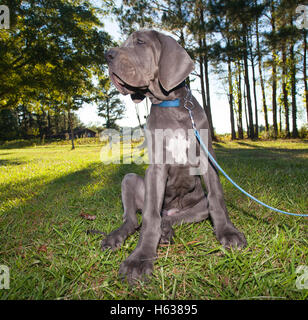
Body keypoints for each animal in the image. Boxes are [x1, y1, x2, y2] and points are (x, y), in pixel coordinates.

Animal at [103, 28, 245, 282]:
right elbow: (150, 217)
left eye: (140, 42)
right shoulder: (156, 168)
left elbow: (218, 200)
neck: (172, 104)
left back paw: (167, 230)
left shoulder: (207, 160)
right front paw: (140, 258)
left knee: (171, 217)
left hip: (198, 205)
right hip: (130, 180)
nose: (107, 55)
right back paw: (116, 236)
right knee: (134, 218)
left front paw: (228, 233)